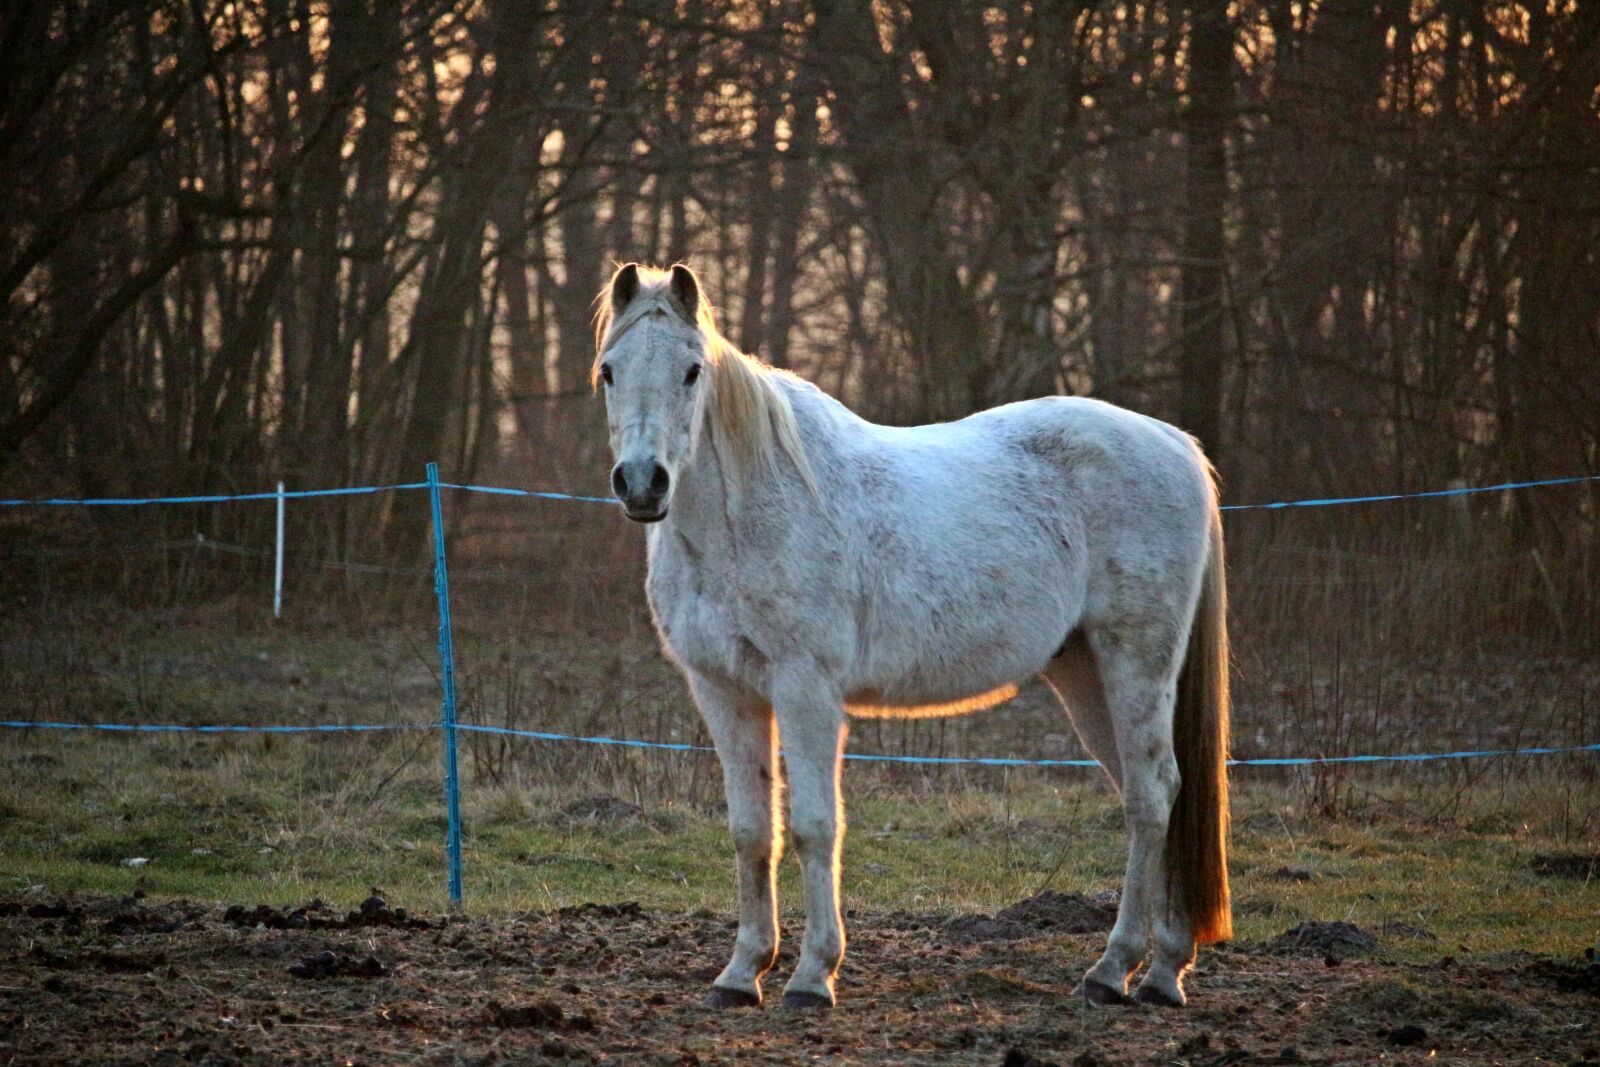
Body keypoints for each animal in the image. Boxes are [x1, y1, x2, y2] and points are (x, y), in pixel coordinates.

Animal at [592, 262, 1230, 1010]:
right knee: (1152, 794)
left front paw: (812, 977)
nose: (643, 483)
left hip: (1137, 660)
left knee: (1153, 795)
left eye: (692, 371)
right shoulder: (723, 689)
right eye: (609, 371)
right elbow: (753, 833)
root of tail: (1175, 444)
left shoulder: (806, 687)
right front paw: (741, 973)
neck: (751, 508)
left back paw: (1116, 968)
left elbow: (814, 826)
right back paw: (1161, 970)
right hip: (1083, 673)